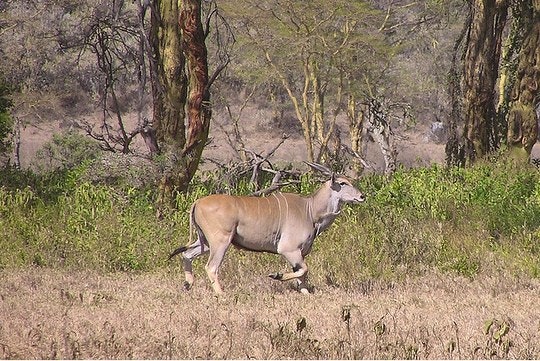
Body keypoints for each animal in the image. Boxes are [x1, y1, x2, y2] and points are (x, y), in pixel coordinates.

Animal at [168, 165, 362, 294]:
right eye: (343, 183)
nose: (362, 196)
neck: (310, 210)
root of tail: (198, 202)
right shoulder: (288, 250)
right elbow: (304, 270)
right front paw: (277, 275)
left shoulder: (299, 253)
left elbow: (301, 274)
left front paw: (306, 294)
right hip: (220, 241)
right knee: (211, 267)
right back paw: (221, 294)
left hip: (206, 242)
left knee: (187, 255)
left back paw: (187, 285)